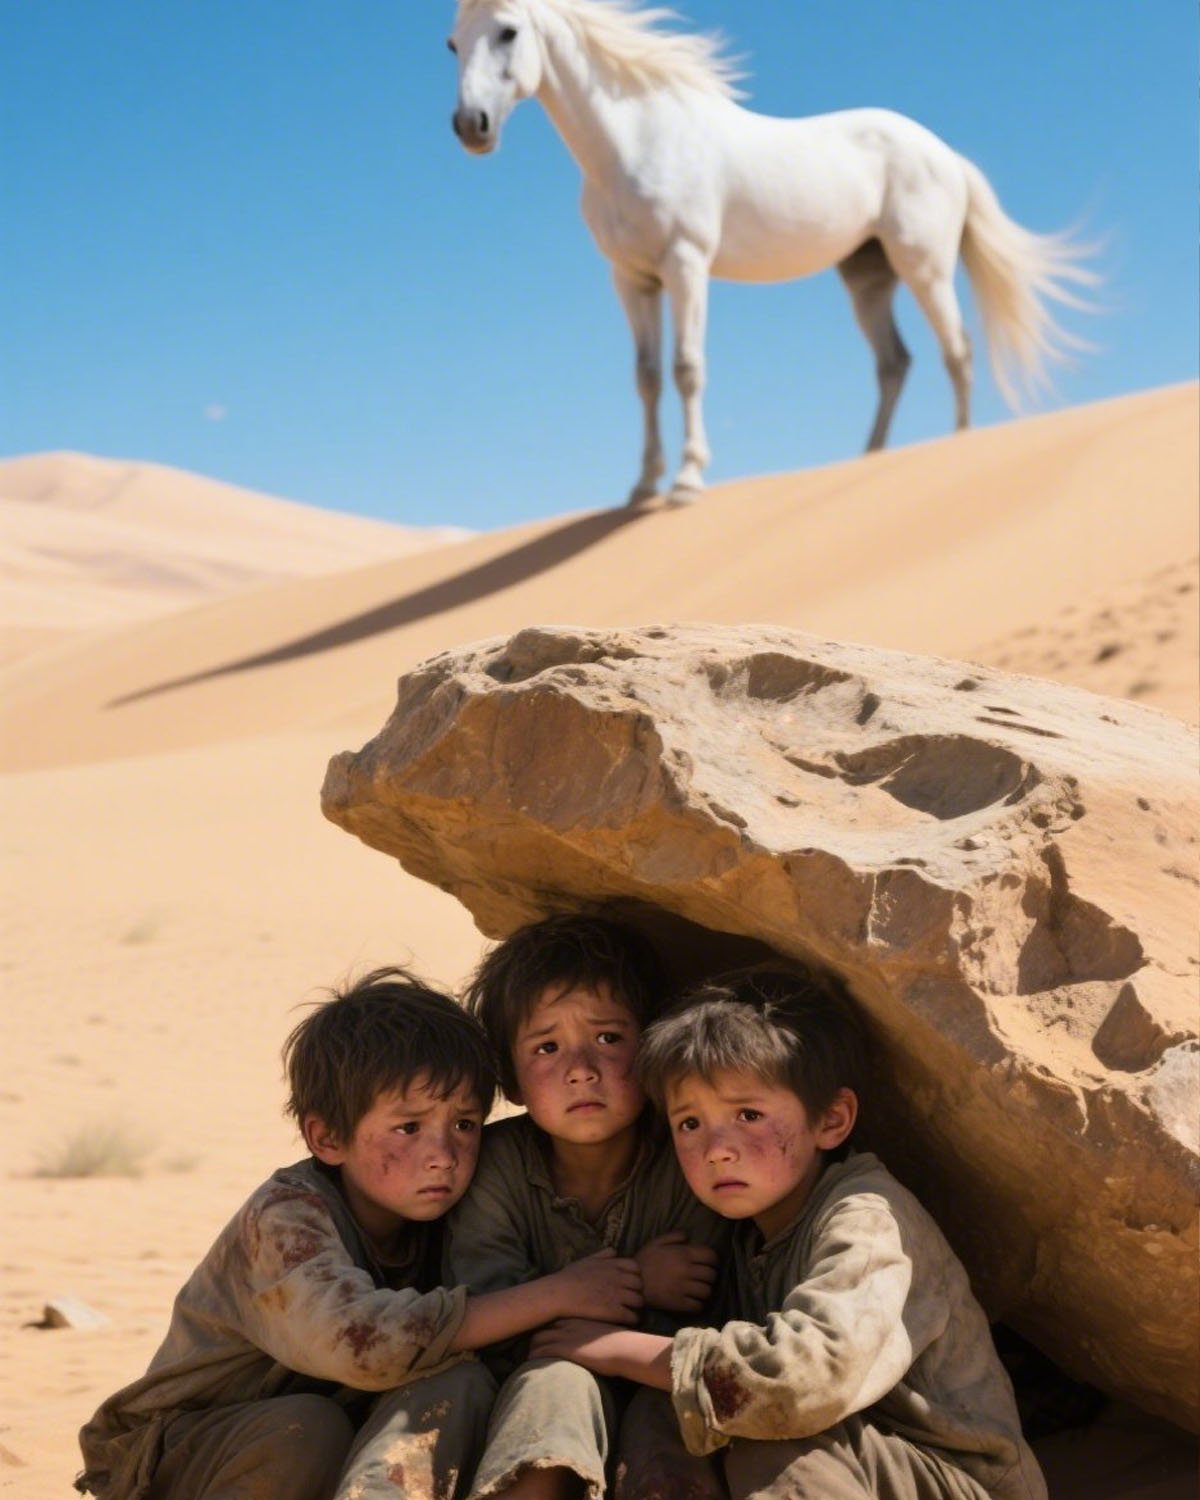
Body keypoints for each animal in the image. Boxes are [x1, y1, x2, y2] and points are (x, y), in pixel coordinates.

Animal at [448, 0, 1096, 504]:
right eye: (452, 43)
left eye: (508, 31)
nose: (470, 125)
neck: (636, 139)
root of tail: (945, 154)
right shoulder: (631, 279)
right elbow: (646, 378)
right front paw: (642, 487)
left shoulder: (686, 265)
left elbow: (687, 369)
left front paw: (686, 481)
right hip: (867, 278)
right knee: (895, 363)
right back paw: (869, 457)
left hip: (924, 267)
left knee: (956, 350)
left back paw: (958, 446)